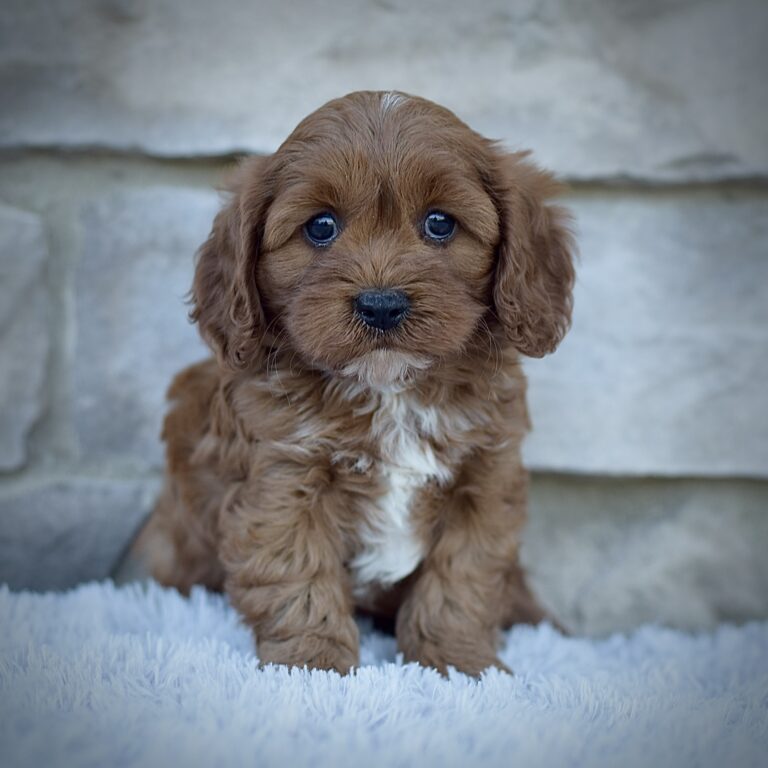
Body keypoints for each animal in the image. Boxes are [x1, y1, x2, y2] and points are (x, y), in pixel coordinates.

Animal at [135, 90, 572, 676]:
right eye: (320, 226)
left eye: (440, 223)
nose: (381, 305)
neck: (390, 392)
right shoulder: (283, 477)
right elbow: (297, 575)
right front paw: (311, 664)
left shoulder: (485, 477)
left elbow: (462, 579)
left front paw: (459, 663)